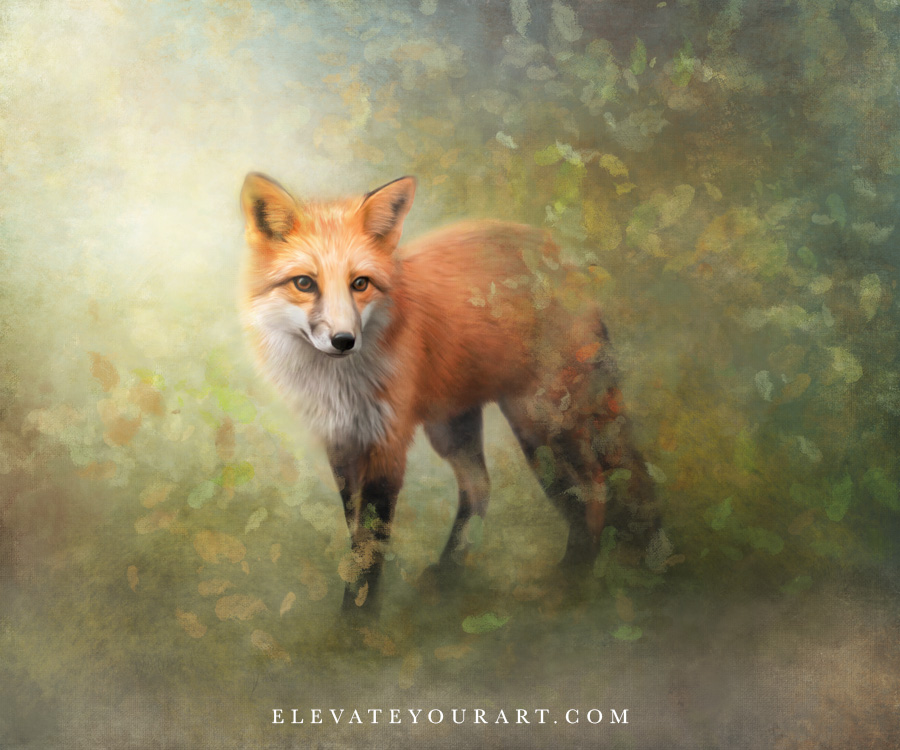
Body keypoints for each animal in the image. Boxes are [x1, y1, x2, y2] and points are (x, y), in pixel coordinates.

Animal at [239, 173, 661, 615]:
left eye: (360, 284)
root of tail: (563, 258)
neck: (339, 386)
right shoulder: (342, 441)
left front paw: (357, 621)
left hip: (544, 422)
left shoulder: (387, 443)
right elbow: (355, 534)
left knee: (595, 486)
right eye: (304, 283)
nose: (343, 341)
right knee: (482, 487)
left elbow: (370, 544)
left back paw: (576, 577)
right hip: (458, 428)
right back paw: (452, 572)